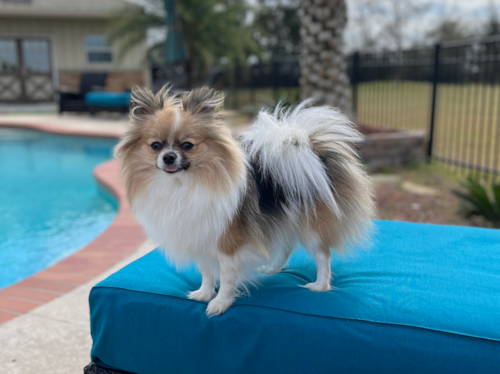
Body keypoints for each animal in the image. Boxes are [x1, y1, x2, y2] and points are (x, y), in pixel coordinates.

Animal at [116, 84, 376, 316]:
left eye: (188, 145)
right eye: (155, 145)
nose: (168, 157)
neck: (182, 185)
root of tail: (313, 154)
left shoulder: (228, 244)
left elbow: (227, 276)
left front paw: (220, 303)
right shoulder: (200, 236)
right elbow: (206, 271)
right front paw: (204, 293)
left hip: (311, 228)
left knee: (323, 256)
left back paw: (320, 286)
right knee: (286, 246)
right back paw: (273, 268)